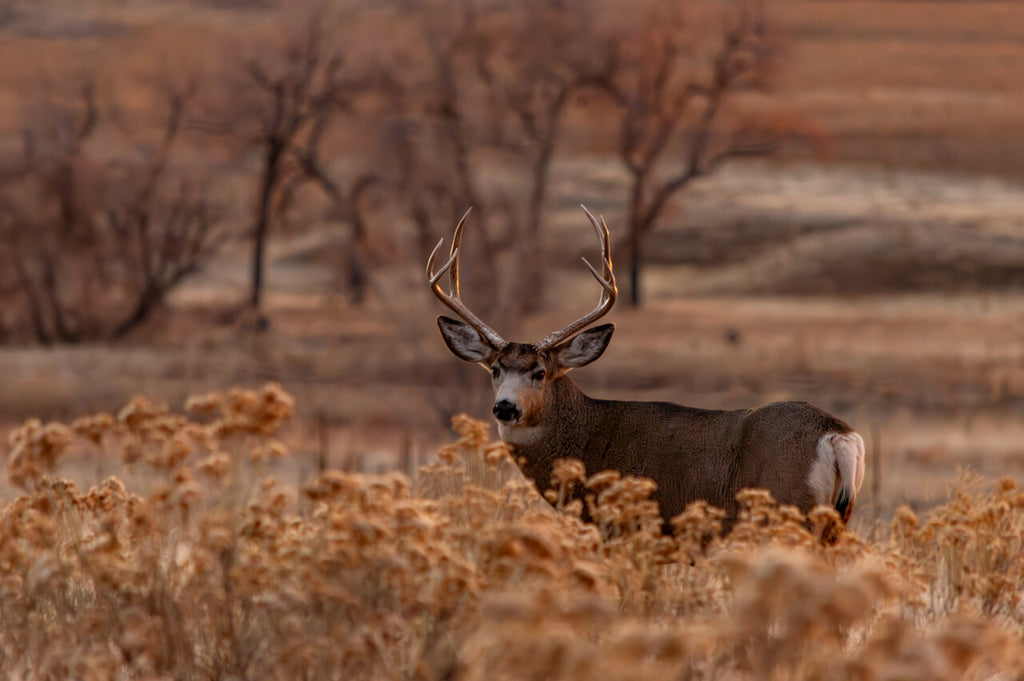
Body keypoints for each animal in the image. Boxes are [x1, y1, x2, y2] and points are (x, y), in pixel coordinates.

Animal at [427, 206, 866, 532]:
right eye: (495, 370)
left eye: (539, 372)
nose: (505, 407)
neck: (584, 440)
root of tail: (838, 436)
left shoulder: (619, 526)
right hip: (834, 519)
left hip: (787, 509)